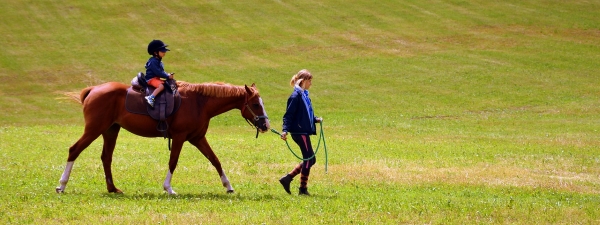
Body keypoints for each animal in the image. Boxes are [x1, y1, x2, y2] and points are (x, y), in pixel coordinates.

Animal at [55, 81, 270, 195]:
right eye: (256, 104)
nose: (266, 125)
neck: (199, 102)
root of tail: (93, 89)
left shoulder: (198, 138)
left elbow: (215, 160)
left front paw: (228, 186)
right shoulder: (180, 137)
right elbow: (173, 161)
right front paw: (168, 188)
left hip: (110, 130)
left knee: (106, 157)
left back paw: (112, 188)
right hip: (94, 129)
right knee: (74, 150)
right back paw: (62, 185)